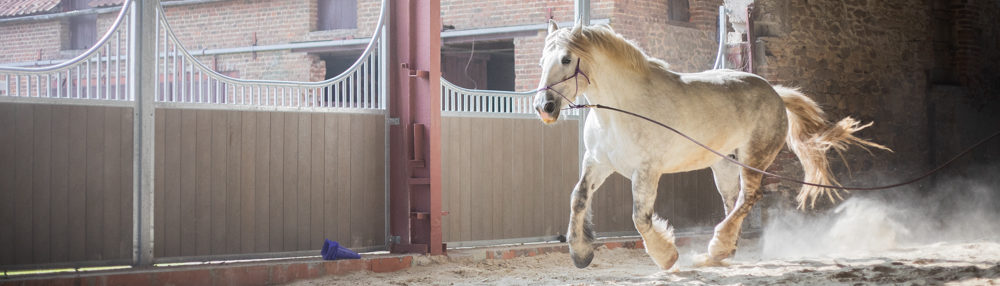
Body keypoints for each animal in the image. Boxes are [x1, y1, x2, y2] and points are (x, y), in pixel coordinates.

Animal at [536, 21, 888, 270]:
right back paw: (723, 253)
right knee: (734, 202)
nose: (544, 107)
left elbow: (641, 218)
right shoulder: (598, 163)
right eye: (542, 61)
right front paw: (581, 253)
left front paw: (667, 257)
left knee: (749, 197)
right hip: (725, 165)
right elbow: (578, 198)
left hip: (753, 158)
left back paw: (715, 249)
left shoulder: (647, 171)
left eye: (566, 59)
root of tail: (774, 92)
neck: (619, 109)